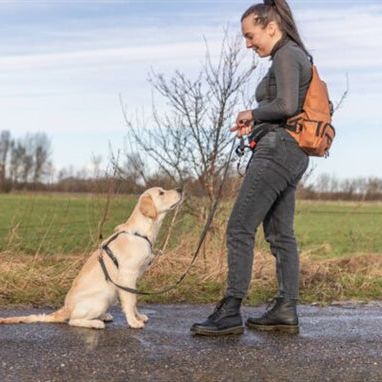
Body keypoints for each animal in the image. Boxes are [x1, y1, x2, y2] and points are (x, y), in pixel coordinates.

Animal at [0, 187, 182, 328]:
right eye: (161, 193)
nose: (180, 189)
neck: (141, 232)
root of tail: (66, 308)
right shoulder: (127, 275)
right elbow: (130, 301)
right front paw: (133, 322)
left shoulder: (133, 279)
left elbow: (134, 299)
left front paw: (138, 316)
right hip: (103, 297)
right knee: (73, 320)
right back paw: (96, 323)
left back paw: (103, 316)